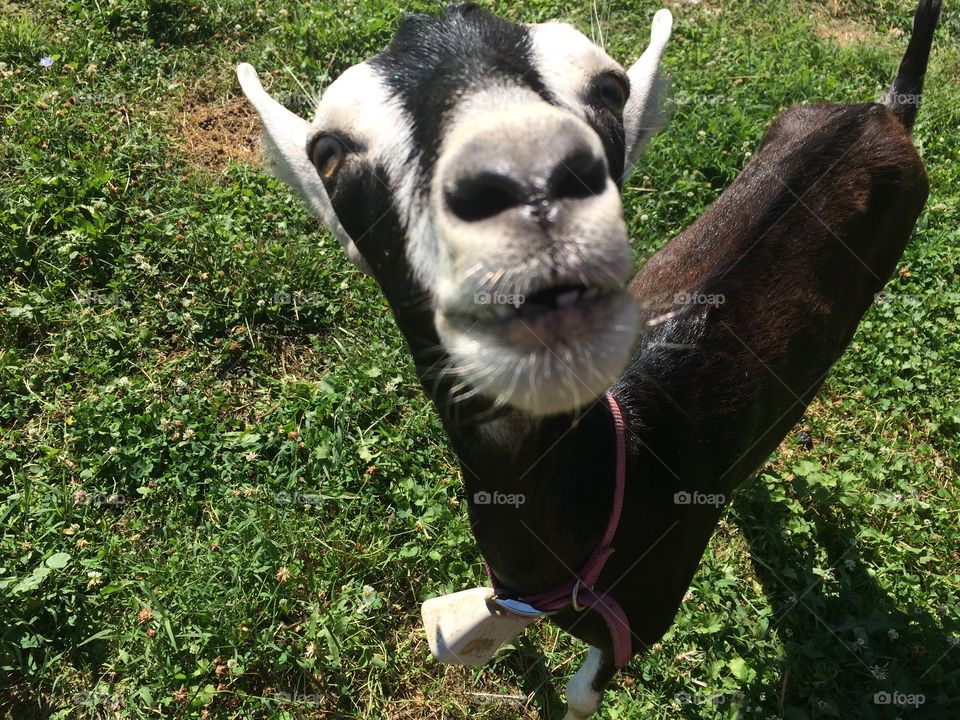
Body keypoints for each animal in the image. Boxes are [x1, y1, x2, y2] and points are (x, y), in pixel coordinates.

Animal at [236, 2, 940, 716]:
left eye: (609, 88)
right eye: (328, 151)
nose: (526, 181)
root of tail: (883, 113)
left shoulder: (645, 619)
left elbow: (580, 693)